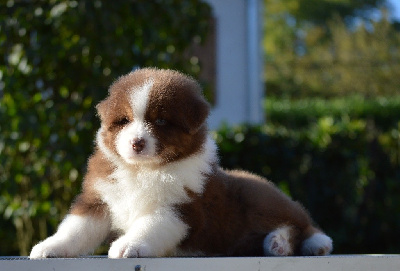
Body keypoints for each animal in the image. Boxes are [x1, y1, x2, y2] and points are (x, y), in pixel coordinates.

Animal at [29, 68, 332, 260]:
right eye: (124, 121)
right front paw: (48, 246)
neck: (143, 170)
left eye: (161, 120)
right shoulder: (99, 198)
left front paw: (128, 245)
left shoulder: (179, 207)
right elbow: (76, 227)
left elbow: (149, 225)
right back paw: (277, 244)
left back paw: (301, 243)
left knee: (302, 222)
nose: (136, 143)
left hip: (258, 196)